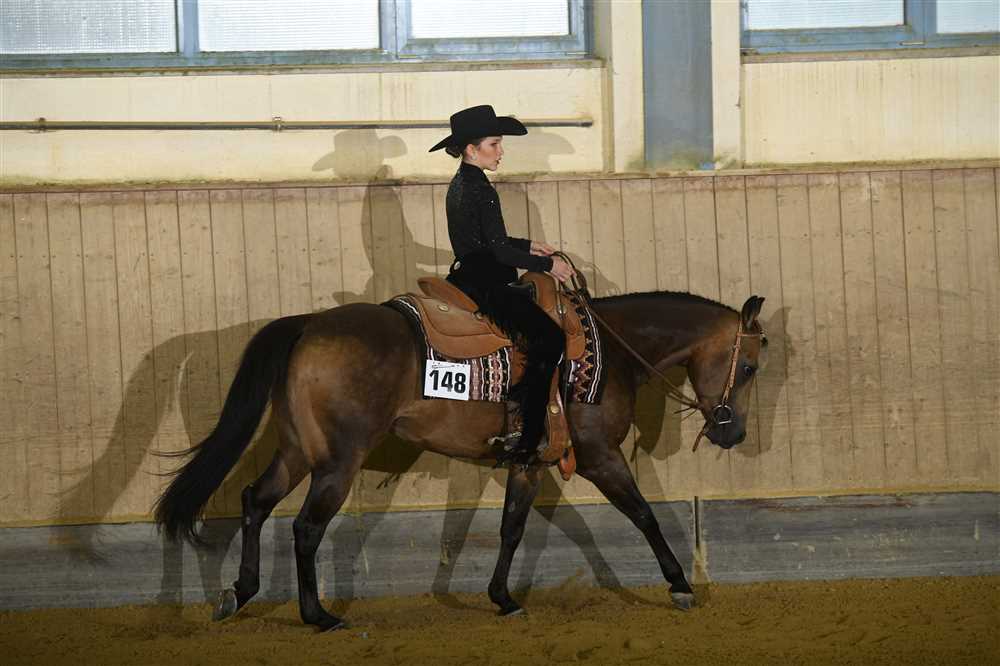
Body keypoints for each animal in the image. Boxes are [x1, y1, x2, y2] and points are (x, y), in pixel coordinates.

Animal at [155, 285, 767, 631]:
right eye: (751, 366)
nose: (732, 432)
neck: (609, 352)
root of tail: (308, 324)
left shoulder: (528, 462)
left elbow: (512, 529)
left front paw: (503, 599)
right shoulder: (599, 456)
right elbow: (643, 514)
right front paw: (680, 585)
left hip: (297, 449)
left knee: (254, 501)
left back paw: (238, 594)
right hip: (337, 460)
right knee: (305, 527)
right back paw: (319, 616)